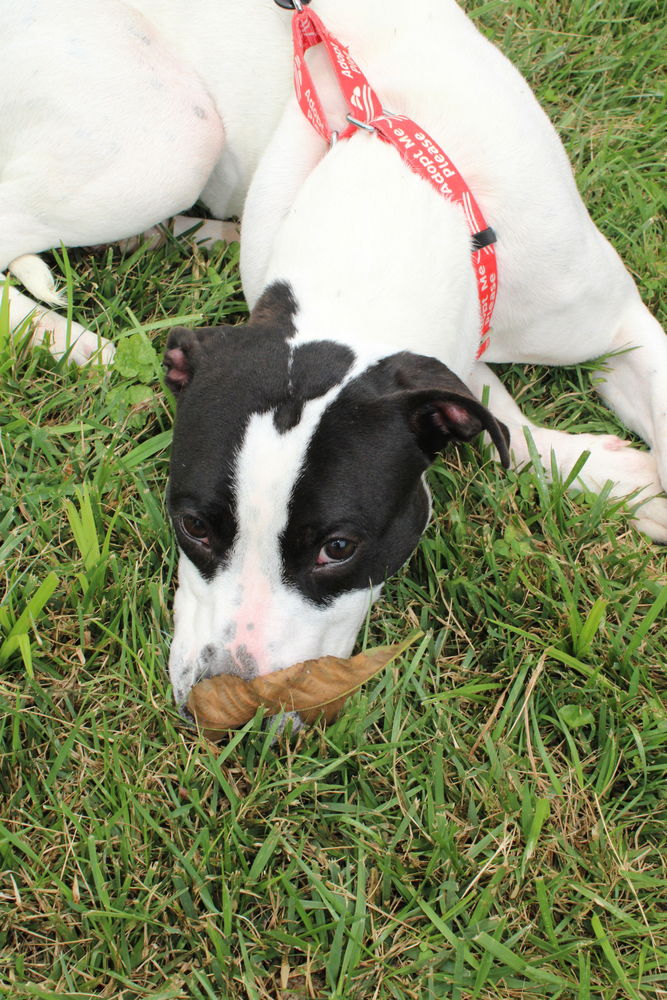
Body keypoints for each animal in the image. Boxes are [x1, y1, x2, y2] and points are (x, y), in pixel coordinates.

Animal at [3, 1, 664, 712]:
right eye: (194, 525)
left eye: (338, 547)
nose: (221, 704)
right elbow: (500, 416)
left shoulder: (608, 322)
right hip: (173, 135)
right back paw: (77, 342)